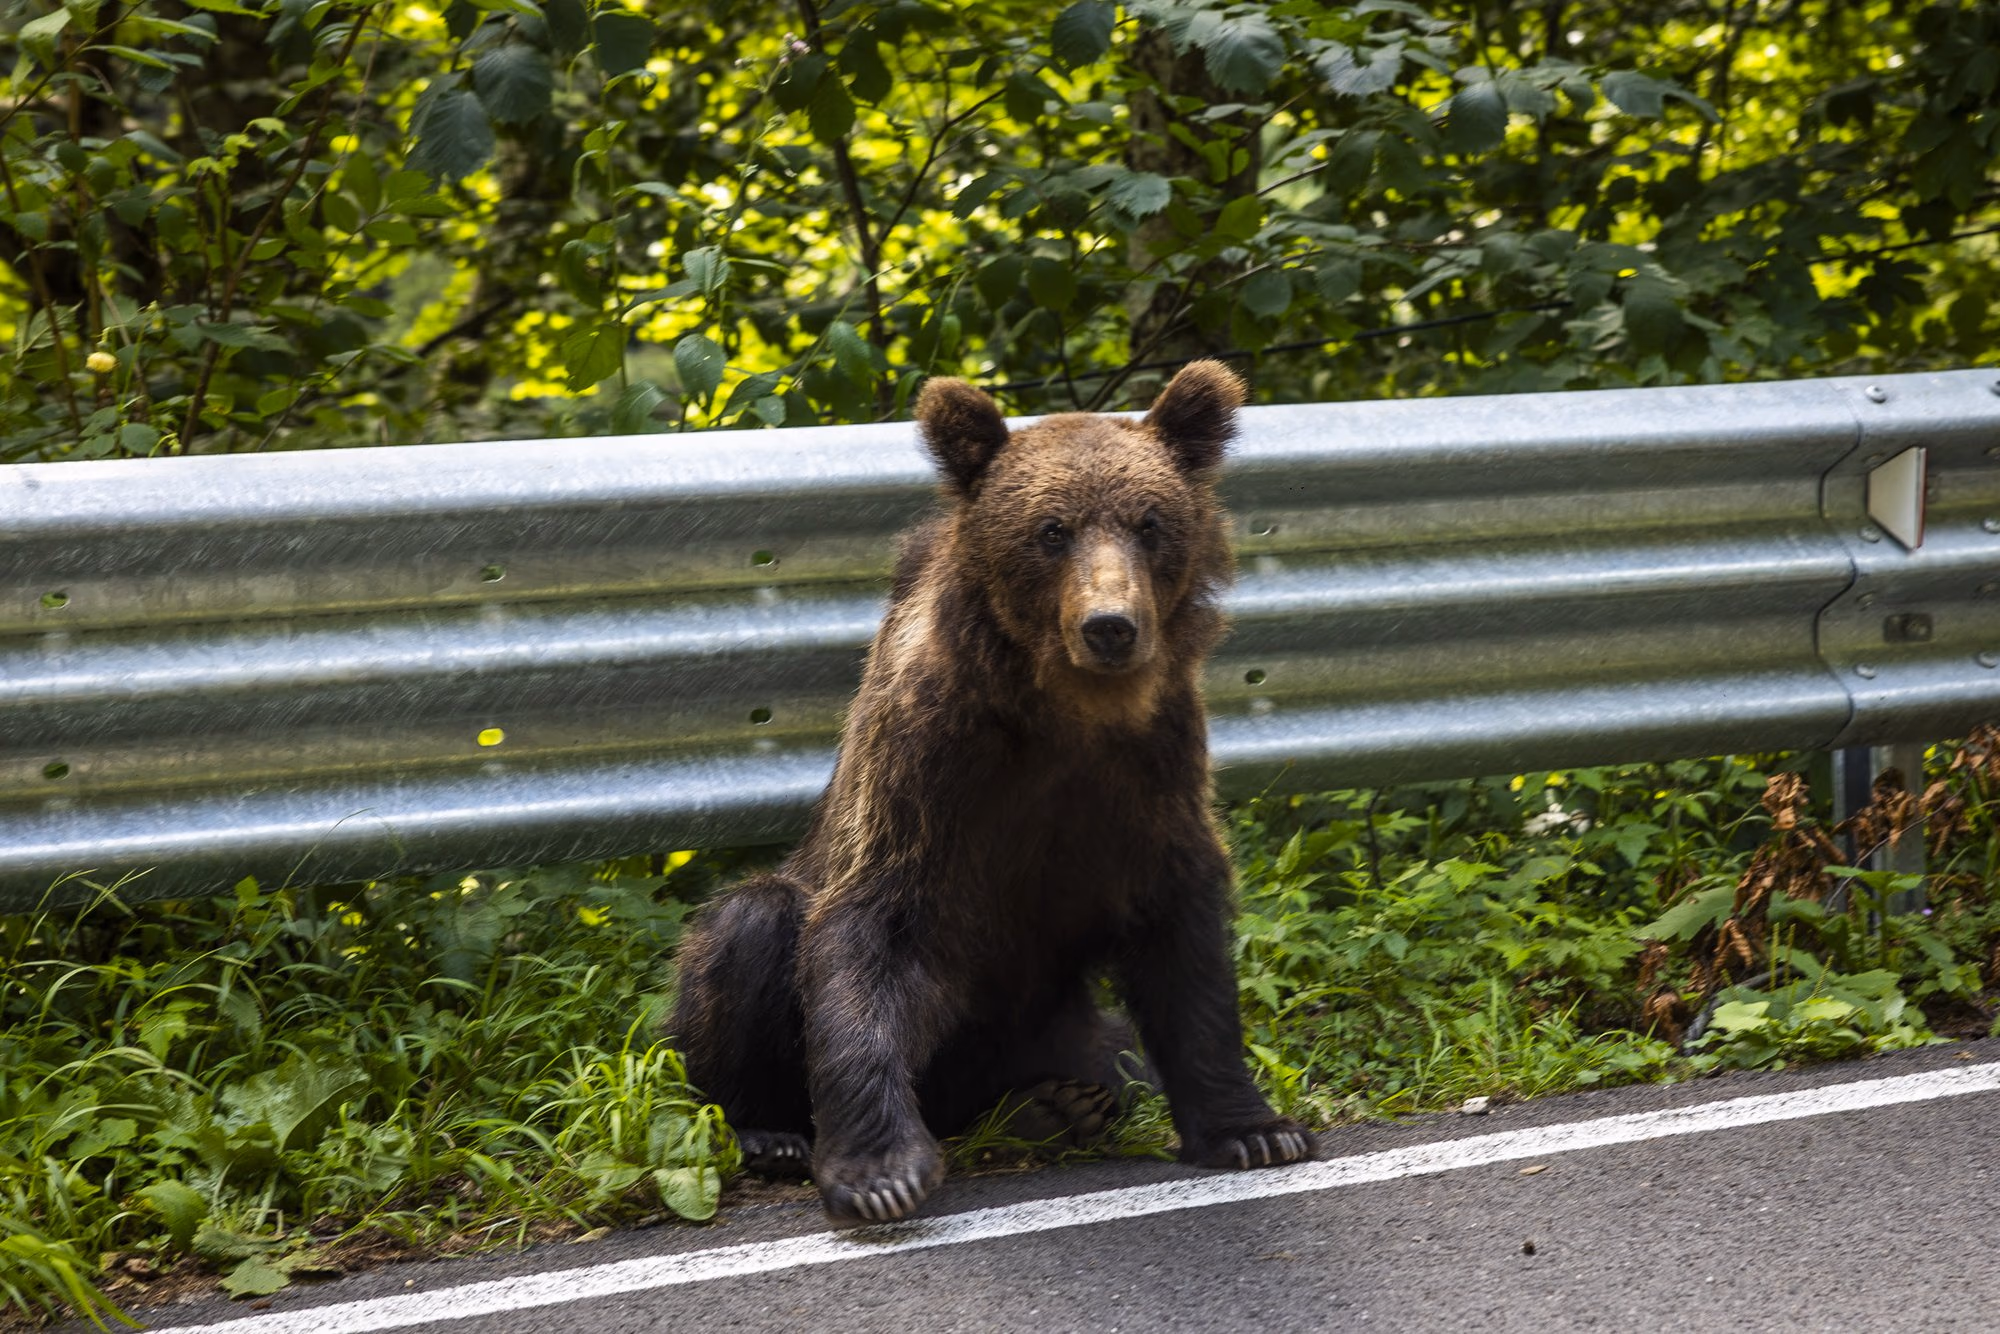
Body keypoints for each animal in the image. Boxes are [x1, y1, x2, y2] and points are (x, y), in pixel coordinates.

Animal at [669, 359, 1315, 1225]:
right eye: (1051, 530)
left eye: (1149, 522)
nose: (1111, 626)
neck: (1062, 713)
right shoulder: (929, 767)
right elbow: (873, 930)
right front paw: (879, 1174)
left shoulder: (1154, 770)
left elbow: (1184, 944)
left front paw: (1255, 1130)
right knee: (749, 927)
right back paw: (770, 1133)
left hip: (1059, 1022)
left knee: (1119, 1057)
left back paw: (1060, 1105)